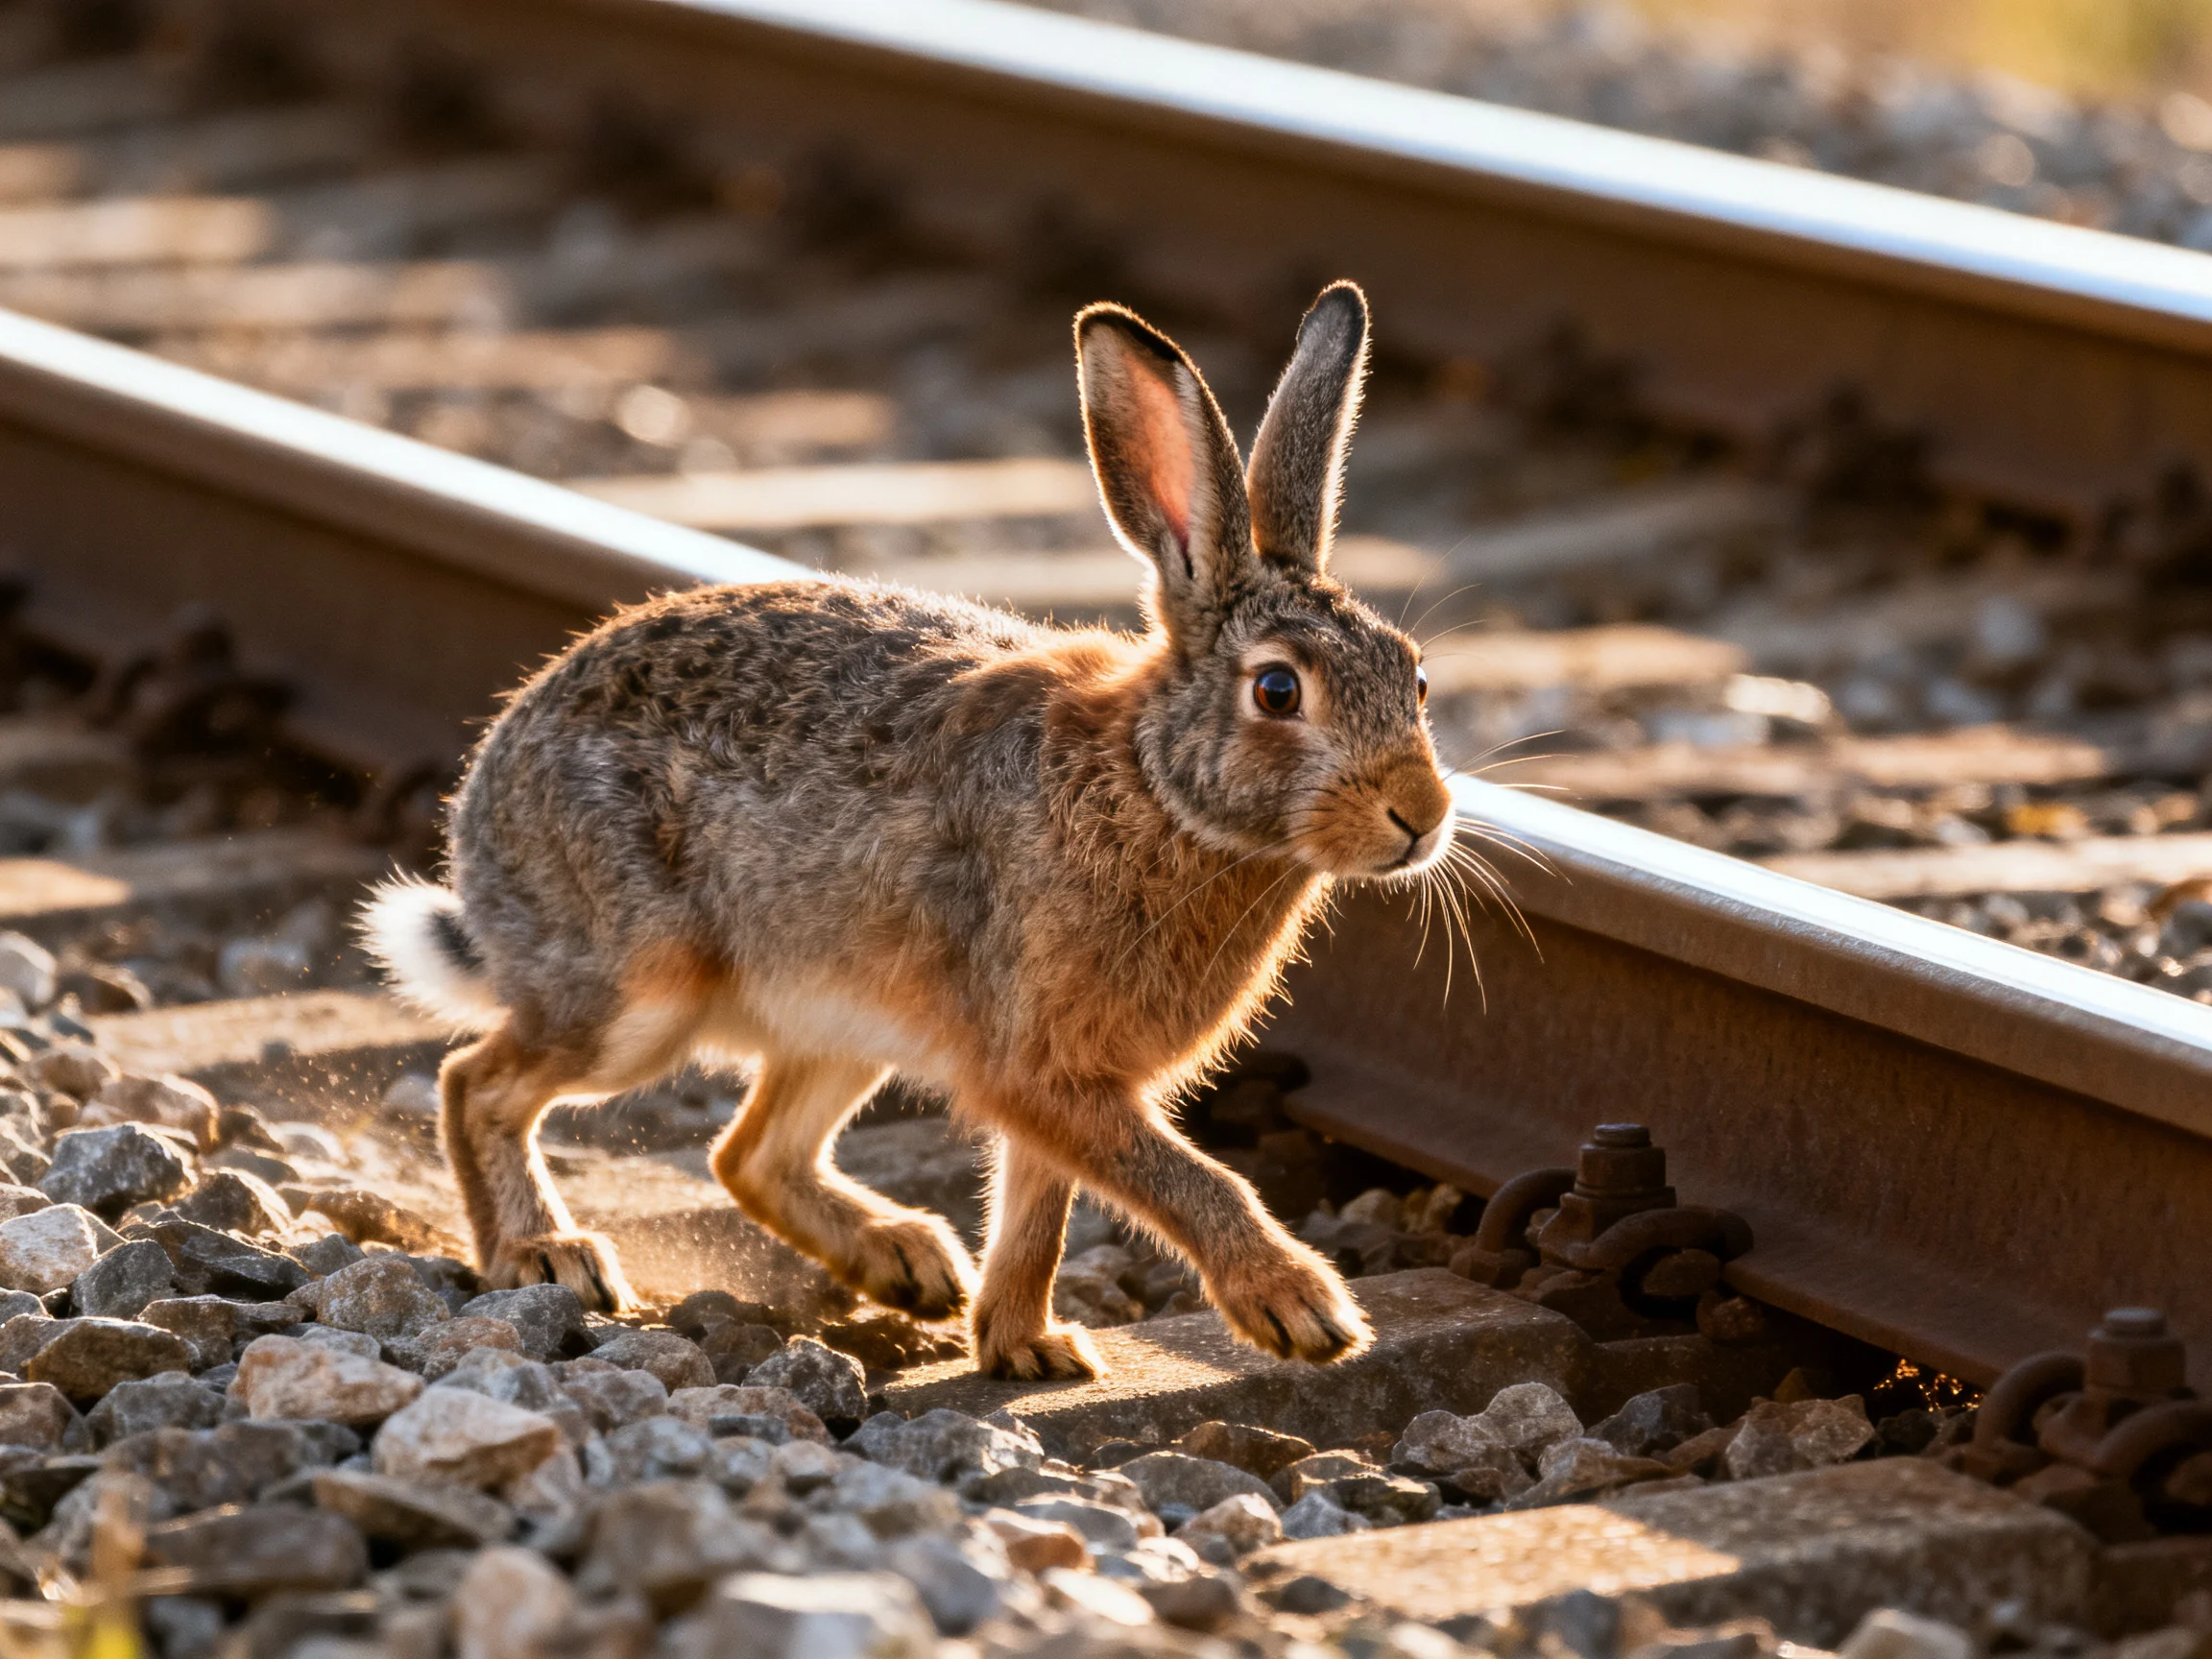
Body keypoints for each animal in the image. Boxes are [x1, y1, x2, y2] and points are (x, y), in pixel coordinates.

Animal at [361, 280, 1455, 1380]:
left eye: (1414, 677)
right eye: (1277, 691)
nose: (1423, 815)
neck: (1153, 784)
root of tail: (483, 817)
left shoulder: (1058, 1088)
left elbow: (1039, 1211)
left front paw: (1027, 1347)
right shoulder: (1038, 1065)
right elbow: (1183, 1177)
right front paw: (1303, 1308)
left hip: (846, 1011)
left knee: (748, 1153)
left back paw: (906, 1262)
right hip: (640, 990)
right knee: (476, 1082)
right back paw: (543, 1255)